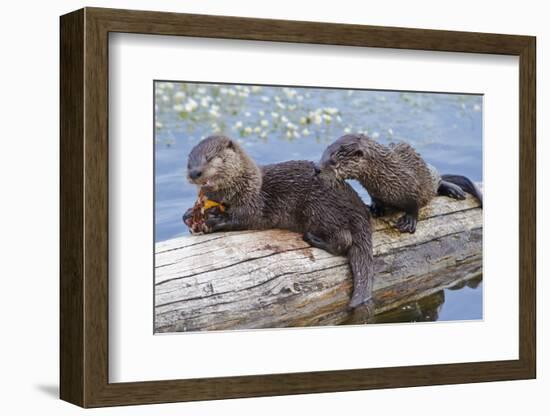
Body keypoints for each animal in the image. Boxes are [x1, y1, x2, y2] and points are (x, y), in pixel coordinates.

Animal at [183, 136, 378, 312]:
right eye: (189, 163)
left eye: (210, 158)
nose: (194, 173)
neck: (244, 185)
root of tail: (358, 207)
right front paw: (189, 214)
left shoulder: (253, 203)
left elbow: (244, 218)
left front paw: (215, 219)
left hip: (320, 208)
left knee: (343, 240)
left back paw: (313, 238)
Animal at [322, 134, 486, 234]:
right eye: (323, 155)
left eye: (333, 162)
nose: (317, 168)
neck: (386, 174)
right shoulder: (374, 192)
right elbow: (376, 200)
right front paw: (375, 209)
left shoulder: (414, 187)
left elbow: (414, 206)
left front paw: (409, 221)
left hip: (430, 175)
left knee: (439, 181)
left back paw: (454, 190)